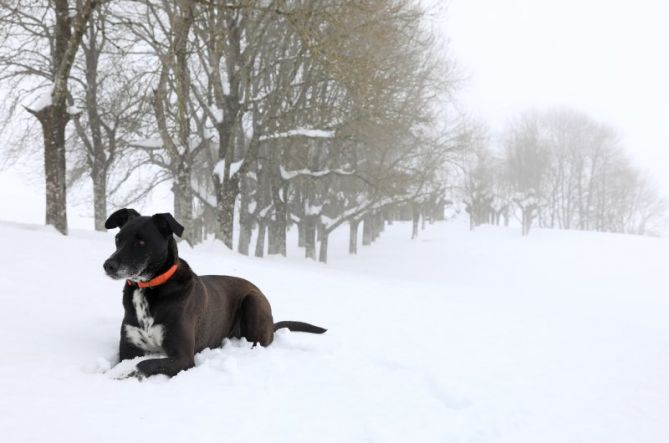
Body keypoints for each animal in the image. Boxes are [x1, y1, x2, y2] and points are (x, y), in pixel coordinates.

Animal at [101, 209, 326, 378]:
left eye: (141, 242)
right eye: (118, 239)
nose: (108, 265)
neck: (147, 288)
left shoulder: (183, 358)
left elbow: (142, 364)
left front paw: (119, 374)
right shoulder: (129, 348)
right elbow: (128, 361)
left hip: (252, 302)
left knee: (259, 342)